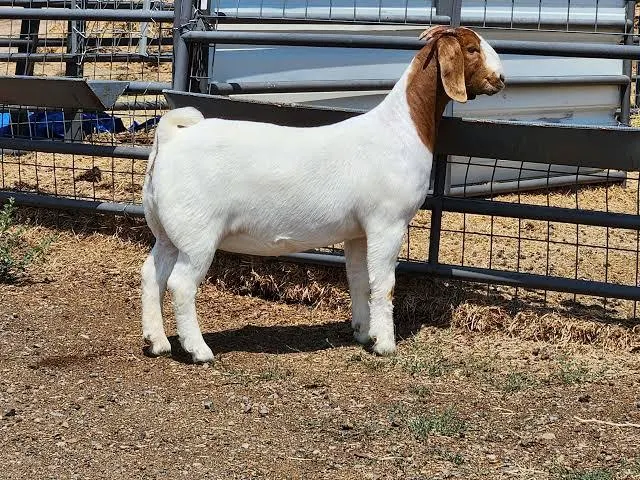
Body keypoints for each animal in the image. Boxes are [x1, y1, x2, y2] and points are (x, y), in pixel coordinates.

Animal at [140, 25, 505, 363]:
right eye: (472, 49)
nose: (501, 78)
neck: (402, 127)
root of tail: (171, 139)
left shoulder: (358, 231)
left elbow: (359, 279)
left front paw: (364, 333)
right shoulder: (387, 222)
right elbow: (384, 283)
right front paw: (386, 344)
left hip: (167, 229)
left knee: (152, 273)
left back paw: (157, 342)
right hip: (198, 232)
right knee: (181, 283)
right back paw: (198, 350)